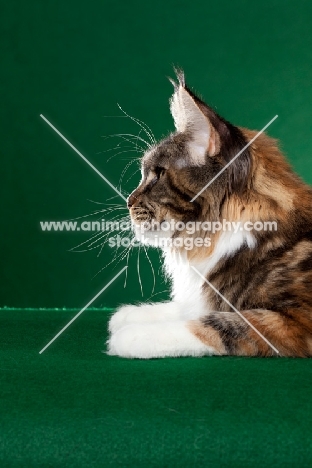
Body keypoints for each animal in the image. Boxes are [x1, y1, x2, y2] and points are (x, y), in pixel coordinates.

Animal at [106, 69, 312, 358]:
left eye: (158, 174)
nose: (128, 201)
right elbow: (187, 309)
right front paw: (128, 316)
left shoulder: (294, 319)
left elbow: (214, 323)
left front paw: (132, 335)